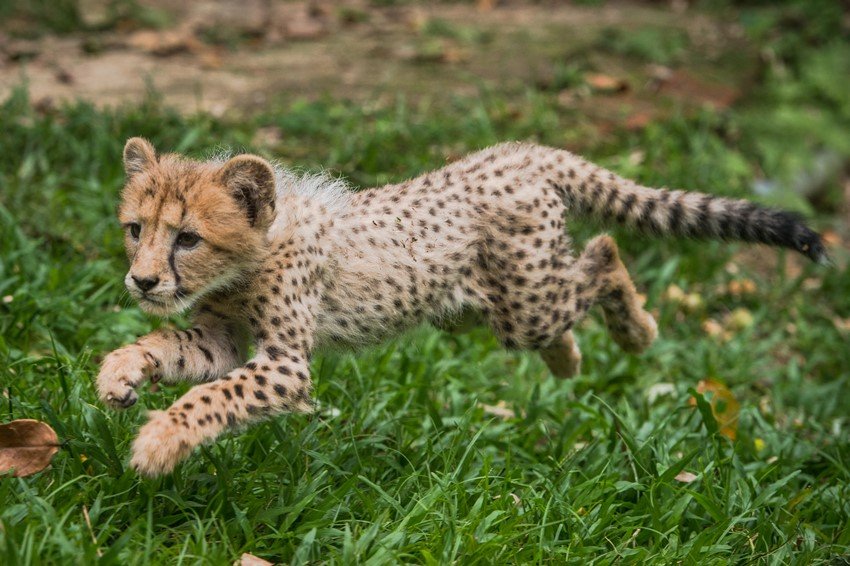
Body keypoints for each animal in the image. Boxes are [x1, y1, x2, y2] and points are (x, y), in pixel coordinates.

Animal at [97, 137, 826, 476]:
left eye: (188, 238)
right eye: (136, 229)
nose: (142, 282)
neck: (256, 251)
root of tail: (520, 151)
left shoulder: (284, 364)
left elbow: (209, 399)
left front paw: (159, 443)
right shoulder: (223, 337)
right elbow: (169, 350)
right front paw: (120, 373)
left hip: (524, 302)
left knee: (605, 254)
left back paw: (638, 332)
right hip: (486, 304)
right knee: (576, 285)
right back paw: (569, 360)